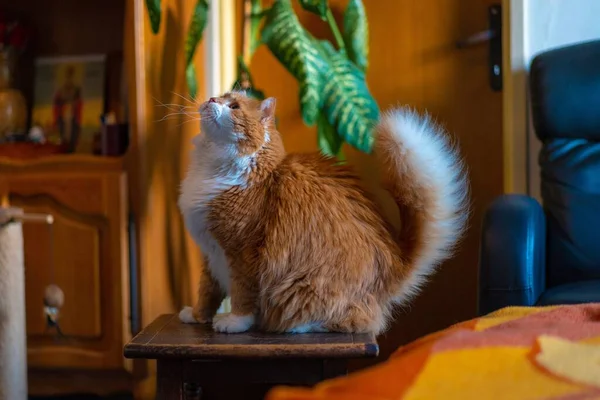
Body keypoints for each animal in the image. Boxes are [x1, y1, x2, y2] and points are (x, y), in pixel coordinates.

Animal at [178, 91, 468, 334]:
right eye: (221, 95)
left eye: (234, 106)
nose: (212, 99)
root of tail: (396, 261)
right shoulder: (210, 252)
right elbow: (207, 291)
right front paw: (197, 315)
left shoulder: (243, 252)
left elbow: (242, 294)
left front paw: (235, 322)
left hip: (304, 289)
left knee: (353, 321)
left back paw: (293, 326)